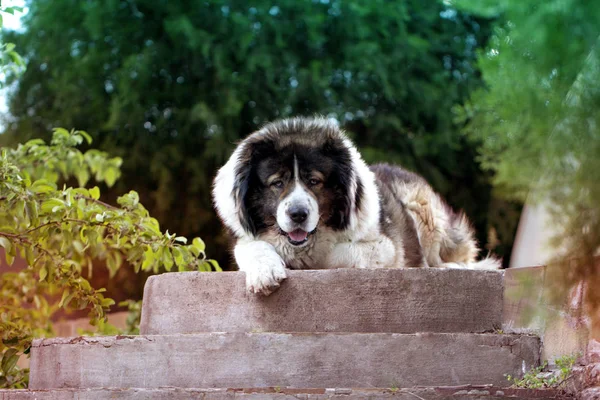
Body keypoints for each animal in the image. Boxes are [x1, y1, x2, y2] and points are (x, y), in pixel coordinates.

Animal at [213, 117, 500, 296]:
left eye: (314, 181)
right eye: (277, 182)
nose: (298, 214)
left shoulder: (387, 247)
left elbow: (338, 253)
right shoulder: (245, 239)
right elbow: (253, 248)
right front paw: (266, 272)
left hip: (422, 208)